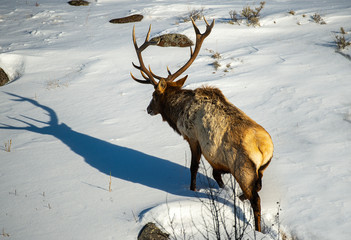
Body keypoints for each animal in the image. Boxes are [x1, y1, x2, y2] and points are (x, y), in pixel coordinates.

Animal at [130, 17, 276, 232]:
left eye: (154, 95)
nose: (148, 109)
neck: (178, 111)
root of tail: (265, 148)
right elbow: (216, 175)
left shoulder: (193, 137)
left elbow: (193, 168)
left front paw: (192, 190)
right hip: (261, 170)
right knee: (257, 189)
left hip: (243, 170)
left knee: (255, 200)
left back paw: (256, 230)